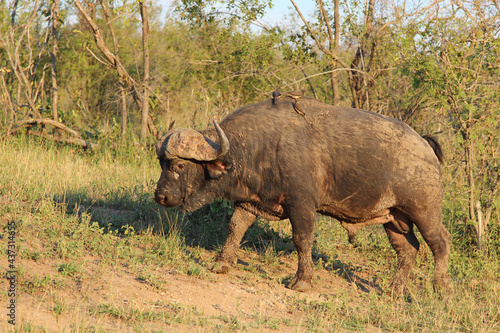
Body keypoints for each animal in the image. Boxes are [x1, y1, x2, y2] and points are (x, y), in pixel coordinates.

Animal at [154, 94, 452, 294]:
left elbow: (302, 240)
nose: (160, 196)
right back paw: (393, 291)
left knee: (440, 243)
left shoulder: (302, 205)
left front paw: (302, 281)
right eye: (161, 163)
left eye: (180, 165)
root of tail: (424, 145)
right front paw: (221, 263)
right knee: (408, 250)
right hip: (394, 219)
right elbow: (235, 227)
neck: (261, 146)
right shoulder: (251, 202)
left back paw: (440, 288)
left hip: (424, 213)